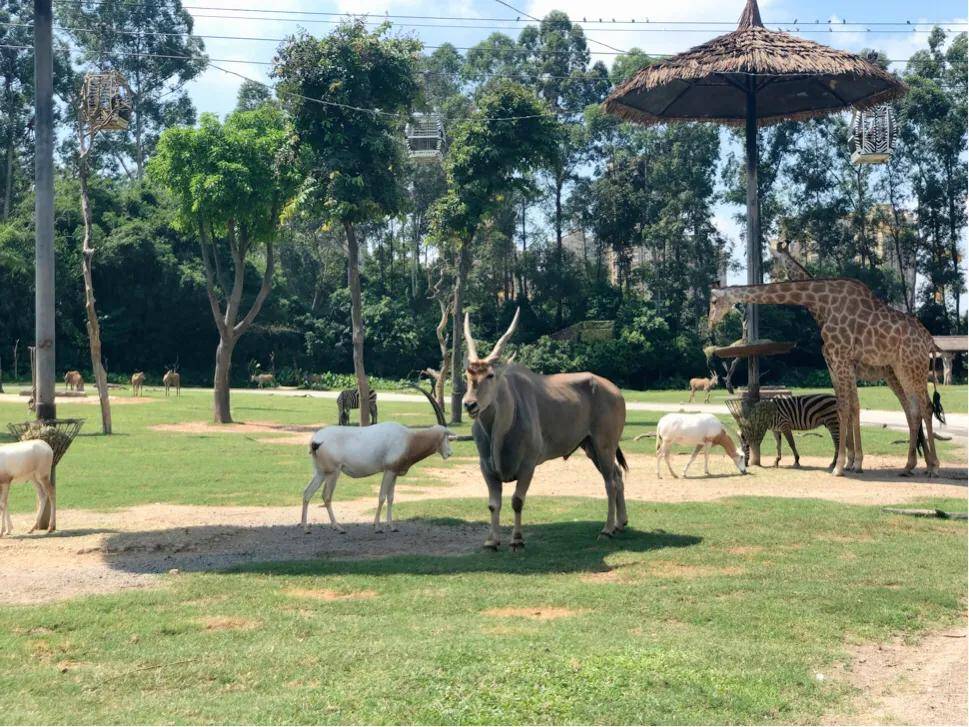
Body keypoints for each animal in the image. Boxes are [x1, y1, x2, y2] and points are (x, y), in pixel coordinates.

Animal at [300, 424, 452, 536]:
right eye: (446, 437)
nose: (450, 453)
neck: (409, 439)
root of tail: (316, 440)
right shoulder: (388, 471)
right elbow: (382, 497)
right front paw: (377, 527)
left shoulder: (394, 473)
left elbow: (391, 498)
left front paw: (392, 526)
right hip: (333, 473)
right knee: (326, 496)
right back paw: (338, 528)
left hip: (320, 473)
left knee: (307, 492)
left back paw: (305, 528)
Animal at [464, 308, 628, 552]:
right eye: (467, 375)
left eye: (490, 375)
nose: (469, 404)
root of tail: (616, 391)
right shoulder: (487, 468)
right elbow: (494, 504)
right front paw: (492, 541)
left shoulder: (528, 466)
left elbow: (517, 501)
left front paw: (517, 540)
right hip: (591, 447)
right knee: (617, 475)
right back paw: (620, 524)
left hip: (604, 445)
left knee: (610, 482)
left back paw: (606, 530)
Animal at [708, 278, 940, 478]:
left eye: (713, 301)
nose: (710, 322)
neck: (822, 301)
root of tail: (929, 340)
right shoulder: (835, 362)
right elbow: (848, 407)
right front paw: (851, 463)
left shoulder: (840, 356)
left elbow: (845, 407)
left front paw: (841, 466)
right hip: (902, 368)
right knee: (913, 410)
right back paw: (910, 466)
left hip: (913, 366)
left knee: (926, 407)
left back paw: (933, 467)